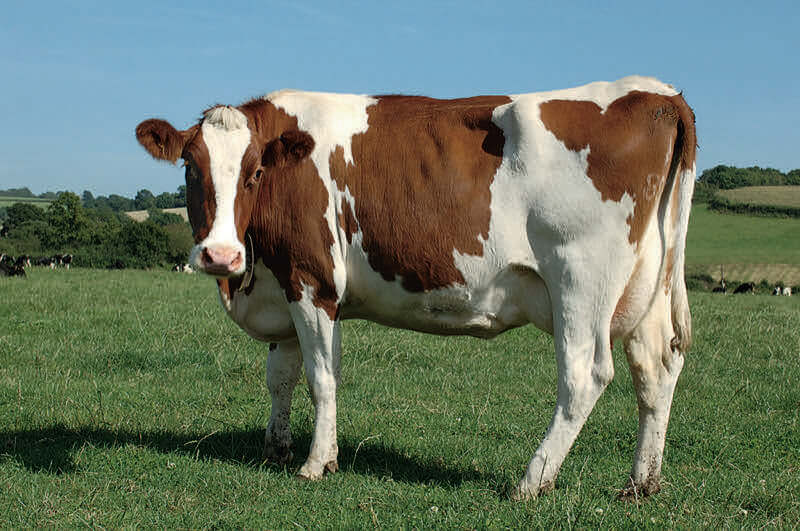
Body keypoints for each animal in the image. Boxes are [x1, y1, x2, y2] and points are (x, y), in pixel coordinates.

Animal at [136, 76, 696, 500]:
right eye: (190, 168)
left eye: (254, 173)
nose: (219, 255)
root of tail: (656, 92)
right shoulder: (285, 283)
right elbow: (281, 376)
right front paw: (277, 447)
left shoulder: (313, 280)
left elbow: (321, 377)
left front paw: (317, 462)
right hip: (645, 291)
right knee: (656, 370)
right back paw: (641, 484)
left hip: (580, 281)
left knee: (585, 376)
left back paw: (530, 482)